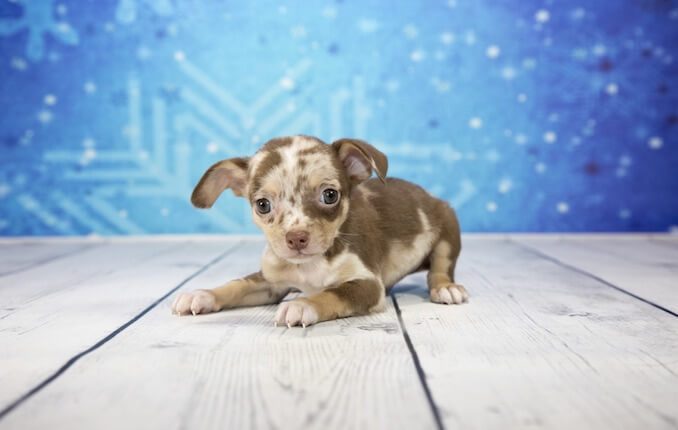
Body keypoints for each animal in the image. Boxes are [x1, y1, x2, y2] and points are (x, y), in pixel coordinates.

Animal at [171, 134, 468, 326]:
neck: (309, 266)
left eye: (329, 195)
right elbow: (237, 285)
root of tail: (430, 197)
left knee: (440, 267)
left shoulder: (367, 285)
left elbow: (332, 293)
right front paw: (203, 294)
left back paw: (446, 288)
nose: (296, 238)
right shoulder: (271, 283)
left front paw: (303, 305)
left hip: (447, 229)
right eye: (263, 205)